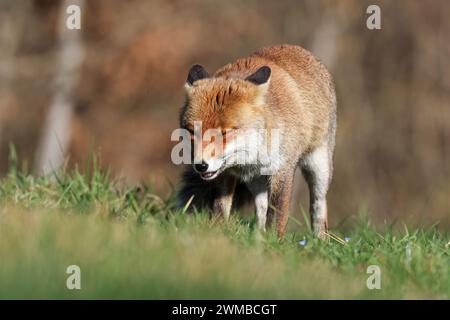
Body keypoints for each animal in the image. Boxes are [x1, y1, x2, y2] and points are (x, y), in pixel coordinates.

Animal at [178, 44, 336, 238]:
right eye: (192, 131)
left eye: (225, 132)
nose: (201, 165)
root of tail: (297, 48)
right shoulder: (224, 173)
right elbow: (220, 208)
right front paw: (216, 234)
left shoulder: (282, 170)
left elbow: (276, 215)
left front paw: (274, 241)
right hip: (256, 181)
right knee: (261, 209)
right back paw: (258, 238)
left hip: (319, 168)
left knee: (318, 207)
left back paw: (320, 239)